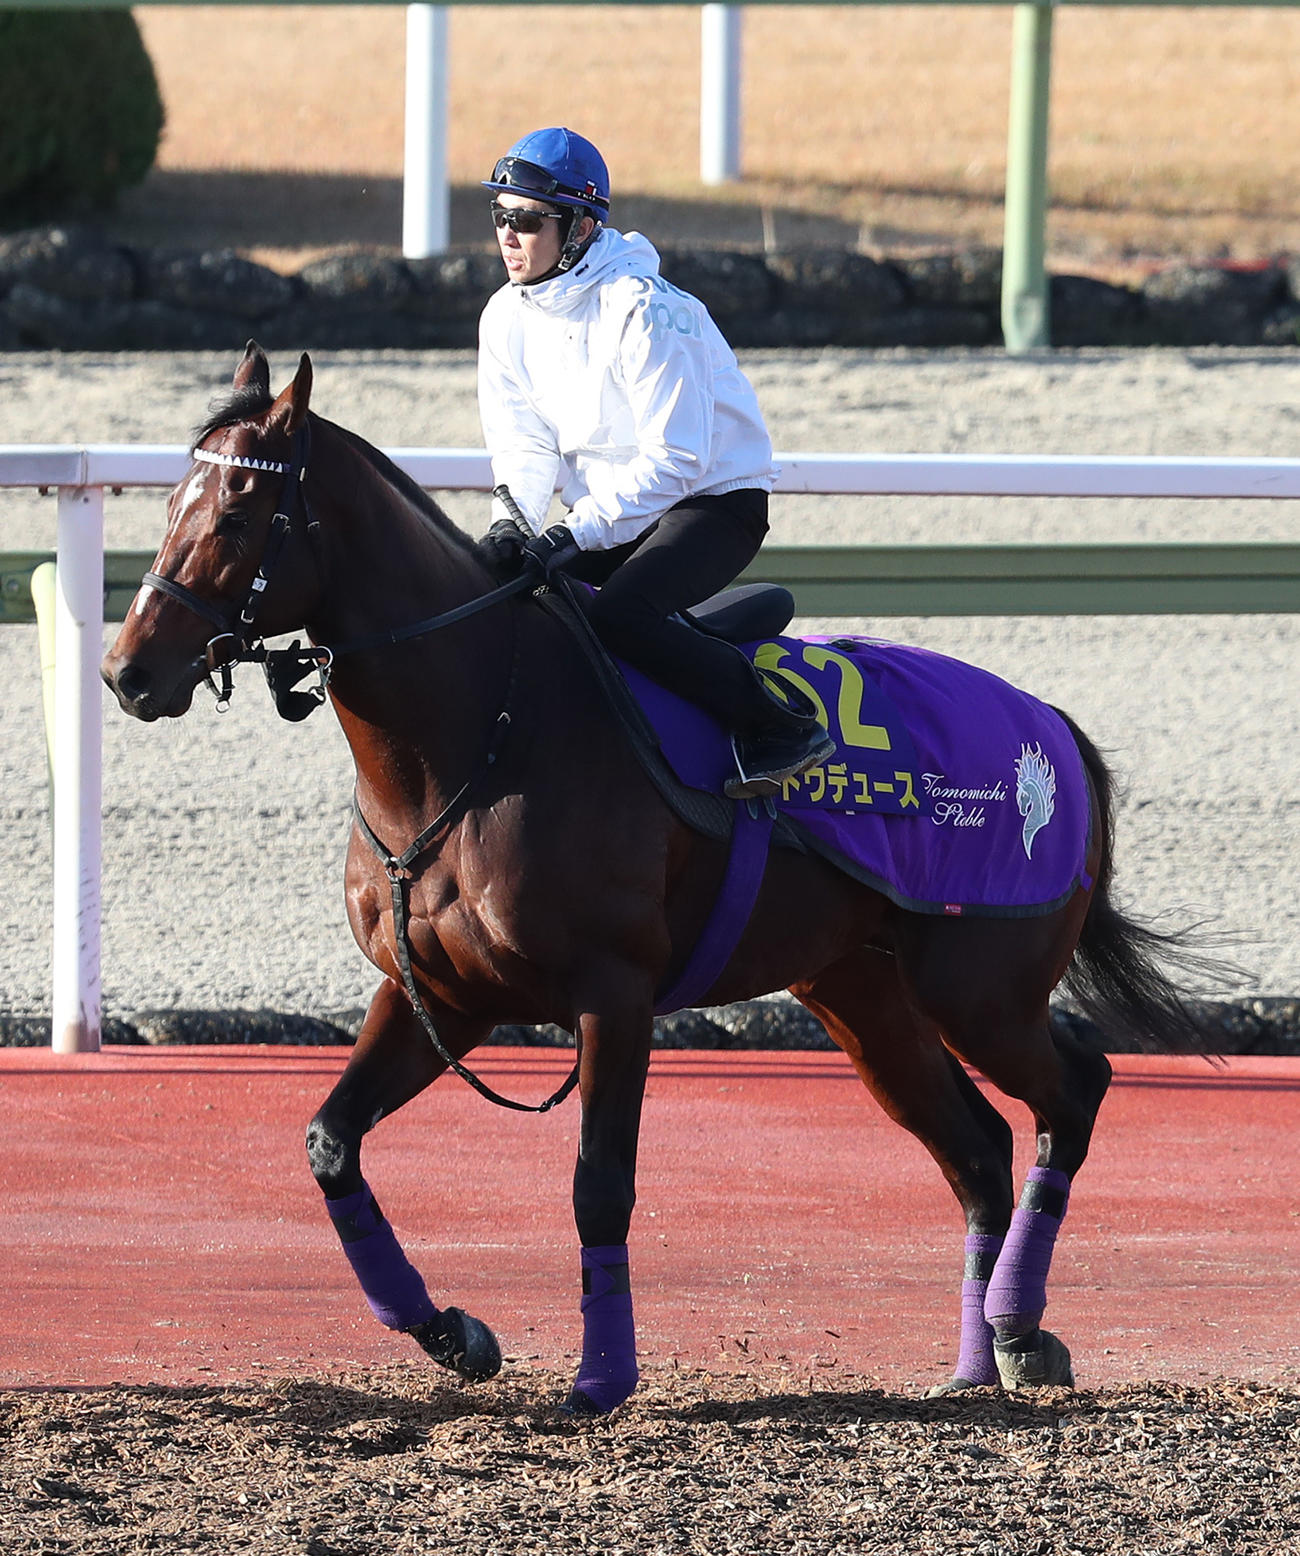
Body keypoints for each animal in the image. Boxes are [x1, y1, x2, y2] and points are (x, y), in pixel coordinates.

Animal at [103, 344, 1212, 1414]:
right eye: (168, 506)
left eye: (237, 515)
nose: (127, 672)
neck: (479, 730)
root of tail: (1051, 723)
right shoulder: (441, 993)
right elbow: (331, 1141)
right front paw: (452, 1333)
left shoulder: (614, 992)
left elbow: (599, 1182)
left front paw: (601, 1376)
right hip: (864, 994)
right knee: (979, 1149)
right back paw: (979, 1361)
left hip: (978, 988)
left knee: (1073, 1090)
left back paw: (1022, 1332)